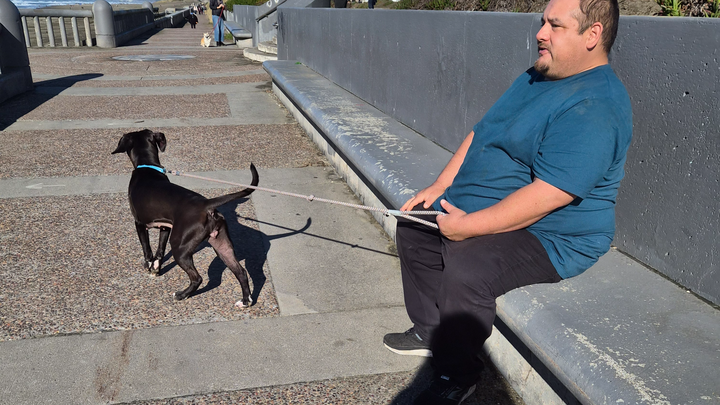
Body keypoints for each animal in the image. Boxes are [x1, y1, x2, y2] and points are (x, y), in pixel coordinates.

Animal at [112, 129, 258, 308]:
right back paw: (245, 301)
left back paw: (182, 295)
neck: (147, 167)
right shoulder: (165, 227)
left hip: (180, 248)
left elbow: (147, 249)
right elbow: (160, 250)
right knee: (241, 272)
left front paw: (148, 265)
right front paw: (156, 267)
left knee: (197, 278)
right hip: (222, 246)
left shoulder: (139, 223)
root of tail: (206, 204)